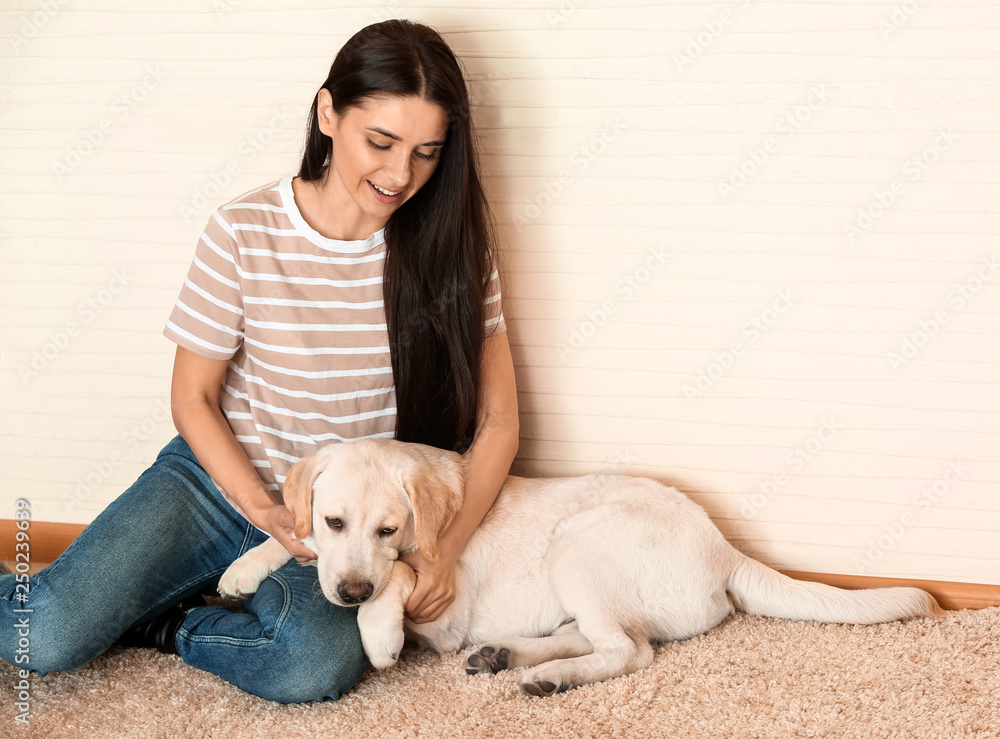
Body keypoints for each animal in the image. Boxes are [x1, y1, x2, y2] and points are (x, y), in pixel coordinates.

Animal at [215, 440, 940, 700]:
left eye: (388, 530)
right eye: (335, 520)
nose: (349, 591)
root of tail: (725, 546)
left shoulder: (437, 604)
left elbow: (401, 576)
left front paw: (379, 631)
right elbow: (293, 537)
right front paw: (244, 569)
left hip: (578, 544)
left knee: (627, 650)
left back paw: (550, 678)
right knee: (591, 636)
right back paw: (508, 656)